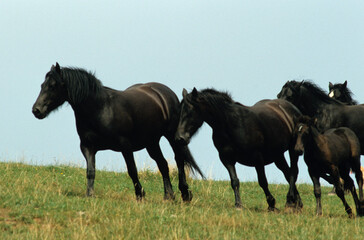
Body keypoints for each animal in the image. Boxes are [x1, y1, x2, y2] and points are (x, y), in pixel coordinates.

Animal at [32, 62, 203, 201]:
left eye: (53, 85)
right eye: (42, 85)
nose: (36, 110)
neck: (100, 109)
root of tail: (164, 92)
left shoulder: (125, 146)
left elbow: (132, 170)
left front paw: (140, 195)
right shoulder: (87, 147)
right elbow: (90, 171)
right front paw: (90, 195)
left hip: (172, 137)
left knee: (179, 161)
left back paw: (185, 194)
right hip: (151, 142)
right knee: (163, 164)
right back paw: (169, 196)